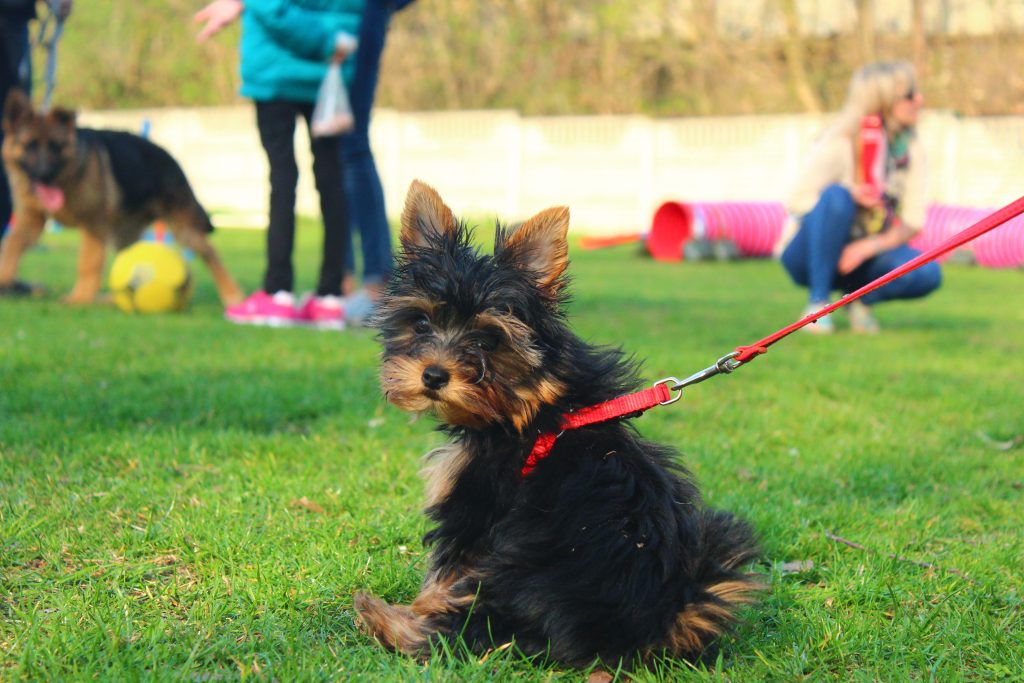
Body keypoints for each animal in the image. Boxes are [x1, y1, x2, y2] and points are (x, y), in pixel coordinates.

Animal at [0, 90, 243, 307]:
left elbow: (88, 262)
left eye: (56, 147)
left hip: (184, 230)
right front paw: (4, 276)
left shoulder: (94, 224)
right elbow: (11, 245)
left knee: (211, 255)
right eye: (29, 145)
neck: (68, 179)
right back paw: (113, 299)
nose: (44, 174)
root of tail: (170, 157)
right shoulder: (31, 221)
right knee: (124, 261)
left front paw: (80, 298)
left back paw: (232, 294)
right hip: (124, 236)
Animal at [354, 181, 761, 667]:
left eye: (487, 340)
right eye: (420, 322)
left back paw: (388, 620)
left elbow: (444, 569)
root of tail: (651, 623)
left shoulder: (476, 500)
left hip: (513, 573)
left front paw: (421, 605)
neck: (531, 401)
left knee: (472, 630)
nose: (433, 376)